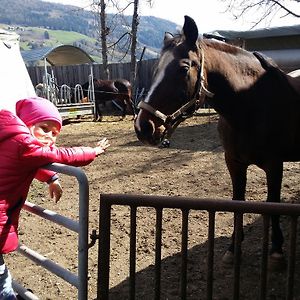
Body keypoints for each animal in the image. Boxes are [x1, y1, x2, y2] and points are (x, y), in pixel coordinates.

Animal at [134, 14, 300, 270]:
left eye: (183, 68)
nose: (143, 127)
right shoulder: (234, 163)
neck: (251, 106)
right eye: (155, 69)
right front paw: (233, 249)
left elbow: (273, 203)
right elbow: (237, 202)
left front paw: (276, 252)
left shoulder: (275, 165)